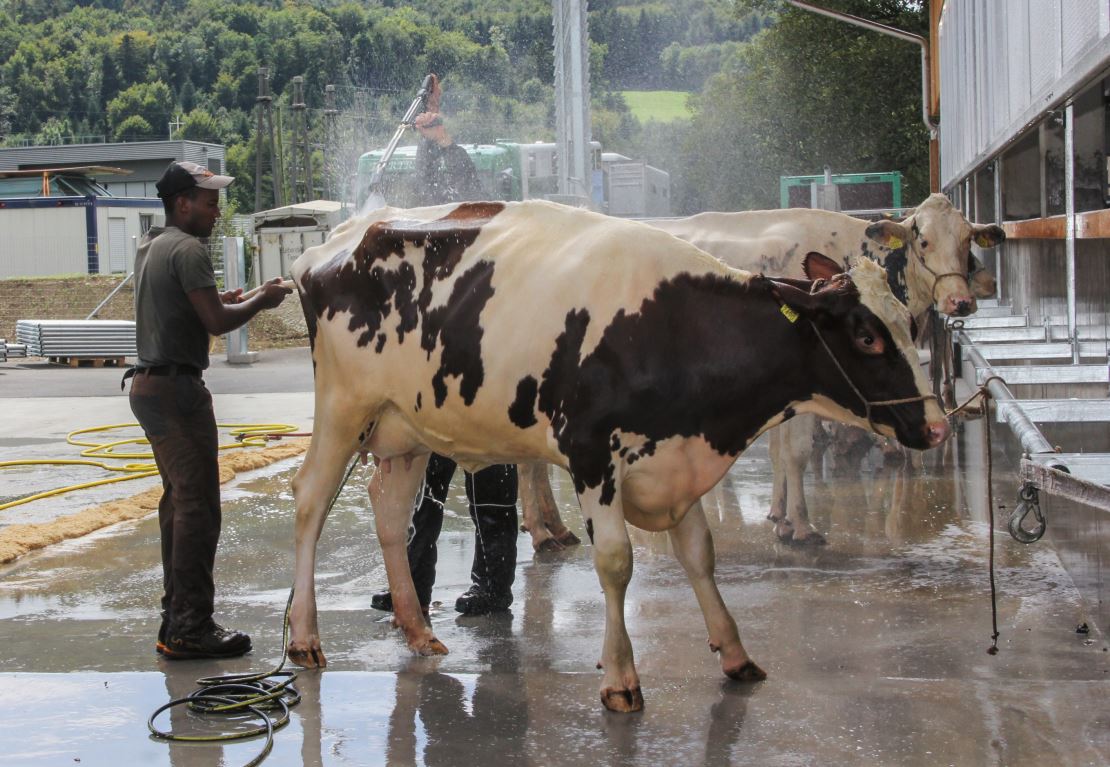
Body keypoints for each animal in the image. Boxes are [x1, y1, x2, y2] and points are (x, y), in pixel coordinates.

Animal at [284, 199, 945, 714]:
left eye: (909, 324)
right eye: (866, 336)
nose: (938, 424)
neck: (670, 327)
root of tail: (334, 244)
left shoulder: (679, 462)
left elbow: (700, 555)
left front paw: (734, 653)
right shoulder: (592, 455)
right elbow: (615, 562)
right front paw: (621, 675)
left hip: (405, 430)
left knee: (390, 514)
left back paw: (418, 628)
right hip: (343, 408)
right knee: (311, 501)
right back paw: (305, 638)